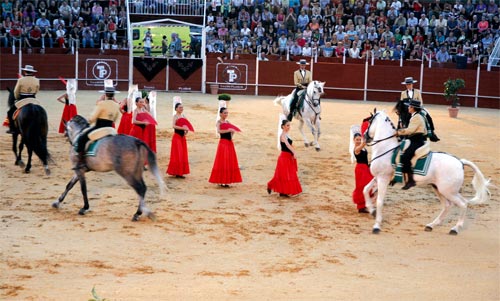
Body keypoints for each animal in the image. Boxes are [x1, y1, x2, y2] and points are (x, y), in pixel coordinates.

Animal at [362, 109, 490, 234]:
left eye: (369, 122)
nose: (364, 137)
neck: (386, 148)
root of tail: (460, 162)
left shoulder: (383, 179)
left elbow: (379, 201)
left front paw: (377, 225)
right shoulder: (378, 177)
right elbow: (366, 189)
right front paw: (371, 210)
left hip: (448, 191)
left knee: (463, 204)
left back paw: (455, 228)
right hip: (439, 189)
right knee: (448, 205)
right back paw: (431, 225)